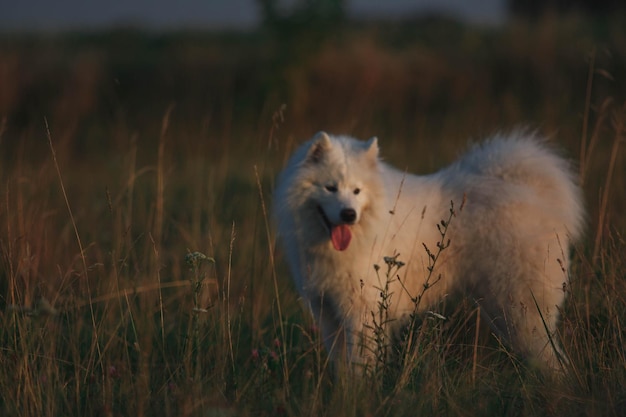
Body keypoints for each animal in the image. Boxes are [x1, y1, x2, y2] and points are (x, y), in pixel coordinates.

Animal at [272, 130, 580, 370]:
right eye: (330, 188)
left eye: (357, 191)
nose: (349, 214)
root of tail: (531, 192)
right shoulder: (328, 313)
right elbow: (342, 367)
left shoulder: (361, 313)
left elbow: (360, 366)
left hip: (520, 310)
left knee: (554, 361)